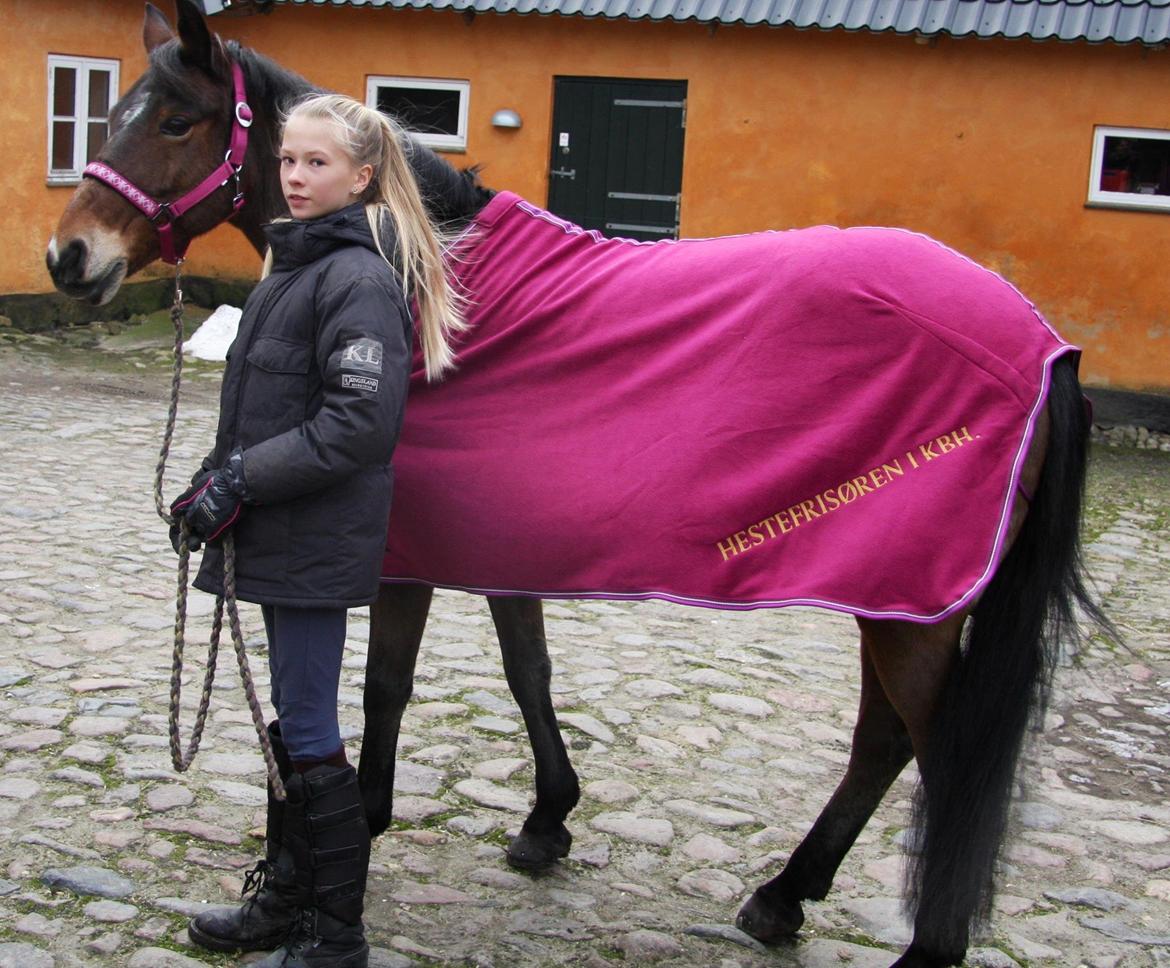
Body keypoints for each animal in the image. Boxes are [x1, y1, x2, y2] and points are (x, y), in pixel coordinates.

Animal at [45, 3, 1109, 964]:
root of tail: (1039, 343)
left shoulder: (407, 558)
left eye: (176, 121)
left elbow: (387, 685)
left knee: (937, 752)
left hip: (916, 605)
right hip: (895, 595)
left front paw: (372, 820)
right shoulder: (505, 544)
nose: (68, 258)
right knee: (883, 744)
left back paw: (912, 941)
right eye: (111, 113)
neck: (429, 278)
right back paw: (782, 897)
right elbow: (529, 672)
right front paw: (547, 819)